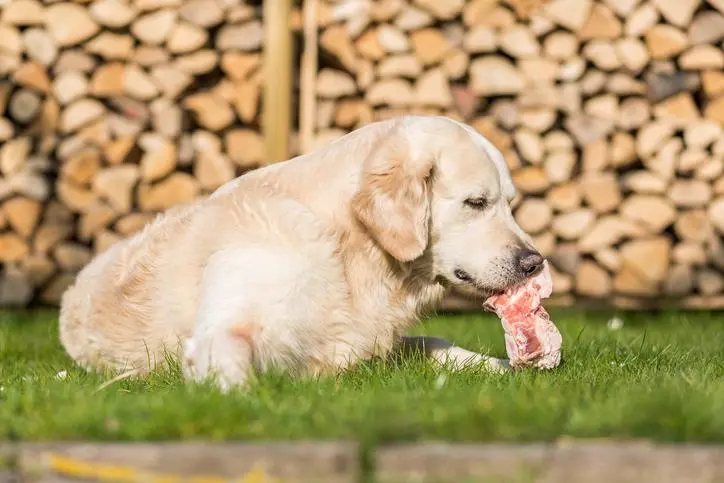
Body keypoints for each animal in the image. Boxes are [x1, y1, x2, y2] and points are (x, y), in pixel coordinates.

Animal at [58, 115, 544, 392]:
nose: (534, 262)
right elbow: (230, 349)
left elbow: (439, 343)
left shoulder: (369, 341)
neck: (347, 253)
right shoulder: (232, 318)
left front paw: (509, 366)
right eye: (476, 202)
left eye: (510, 203)